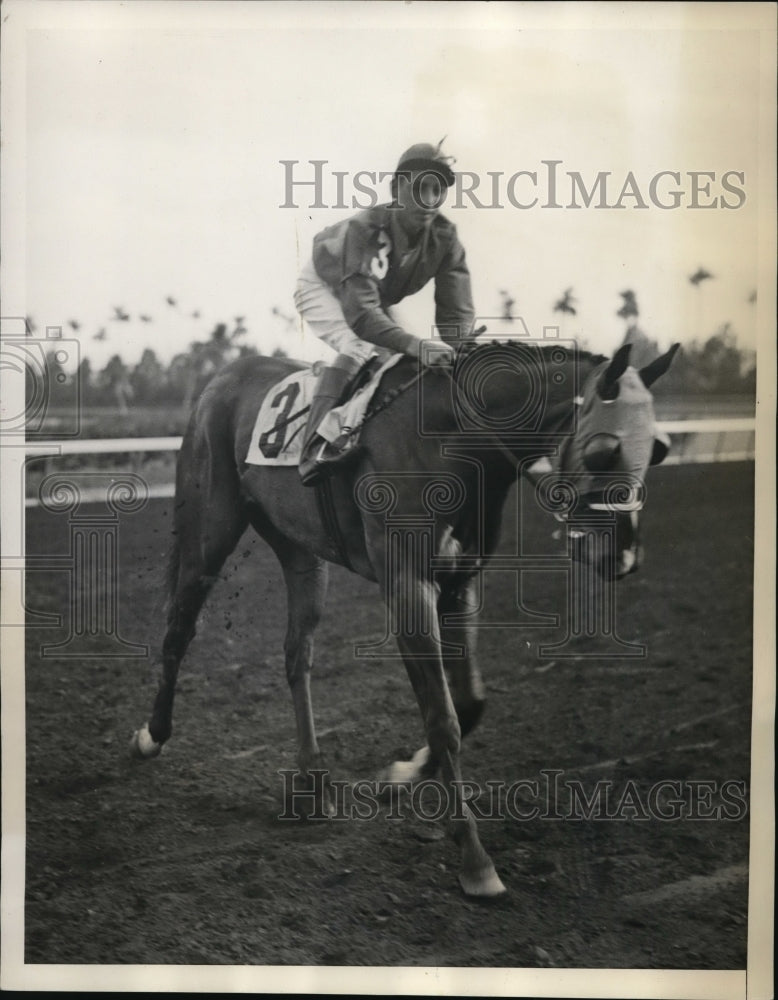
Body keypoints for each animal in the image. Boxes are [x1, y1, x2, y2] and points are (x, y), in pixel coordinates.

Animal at [130, 336, 676, 900]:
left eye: (658, 450)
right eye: (603, 450)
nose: (622, 555)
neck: (454, 439)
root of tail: (221, 379)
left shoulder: (458, 584)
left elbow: (469, 704)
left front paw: (402, 775)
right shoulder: (407, 588)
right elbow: (443, 718)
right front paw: (476, 861)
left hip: (300, 550)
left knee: (296, 654)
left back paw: (312, 782)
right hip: (208, 534)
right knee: (178, 631)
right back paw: (152, 735)